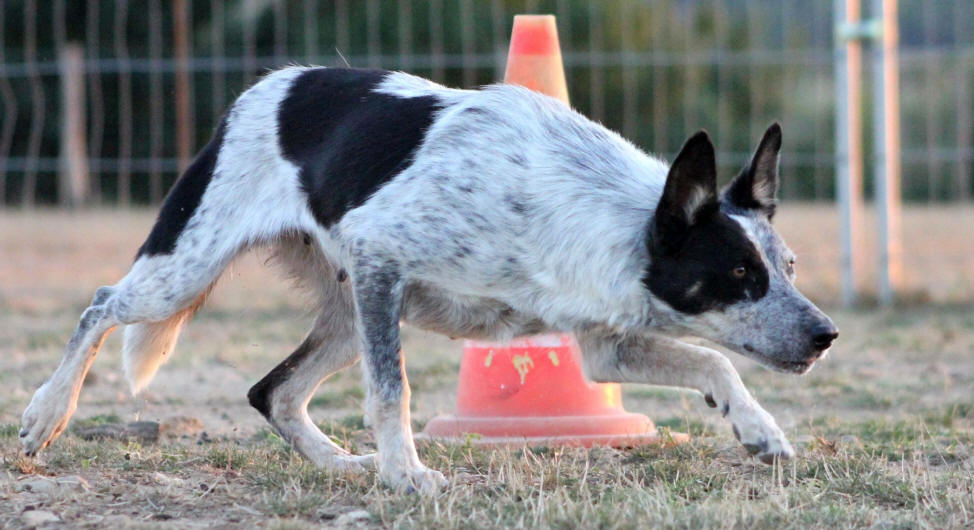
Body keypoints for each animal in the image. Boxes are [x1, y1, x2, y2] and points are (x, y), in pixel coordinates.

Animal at [21, 66, 840, 490]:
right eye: (739, 272)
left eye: (788, 267)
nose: (826, 335)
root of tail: (265, 86)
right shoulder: (382, 258)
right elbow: (394, 394)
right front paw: (406, 474)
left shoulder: (604, 347)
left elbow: (712, 363)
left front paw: (759, 430)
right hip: (189, 270)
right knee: (100, 306)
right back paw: (46, 412)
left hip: (350, 314)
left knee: (271, 392)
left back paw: (341, 464)